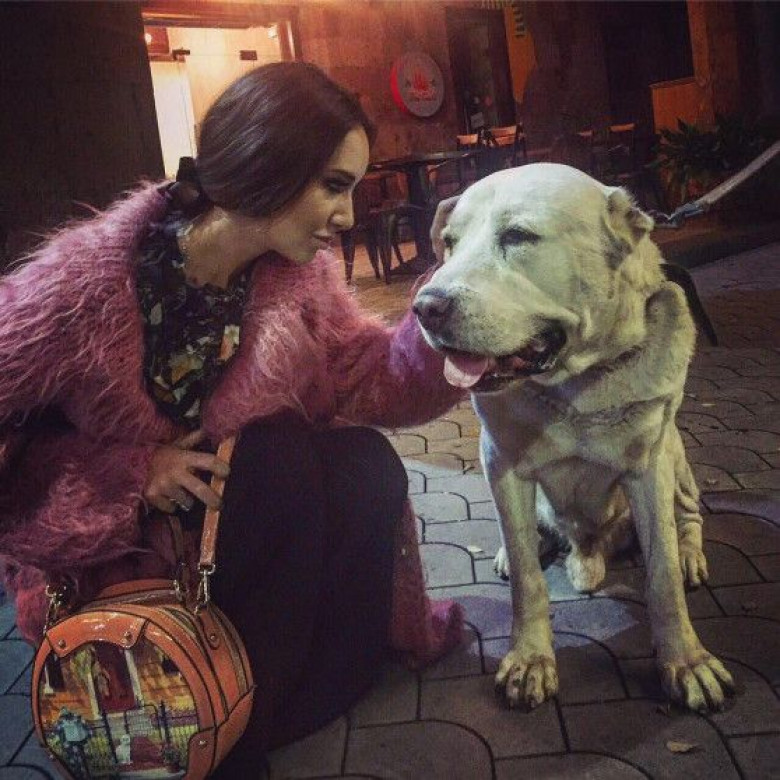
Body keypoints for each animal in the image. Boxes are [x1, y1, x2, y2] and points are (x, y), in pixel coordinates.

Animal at [414, 164, 734, 713]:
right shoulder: (500, 462)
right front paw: (530, 659)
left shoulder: (648, 466)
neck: (574, 387)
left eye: (518, 236)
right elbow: (527, 578)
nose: (424, 307)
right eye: (449, 244)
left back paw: (690, 552)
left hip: (676, 453)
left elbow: (662, 576)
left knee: (687, 517)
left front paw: (686, 662)